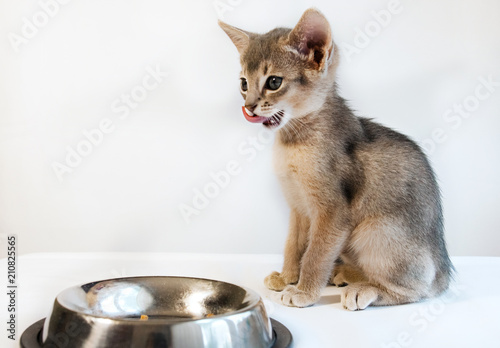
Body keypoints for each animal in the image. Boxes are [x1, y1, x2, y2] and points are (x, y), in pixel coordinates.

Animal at [219, 8, 454, 310]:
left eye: (274, 82)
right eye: (243, 83)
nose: (248, 107)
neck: (293, 142)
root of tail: (445, 270)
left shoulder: (332, 212)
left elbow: (316, 254)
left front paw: (304, 291)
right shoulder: (297, 207)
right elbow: (293, 245)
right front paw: (287, 277)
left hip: (372, 231)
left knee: (416, 290)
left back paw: (364, 289)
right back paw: (345, 274)